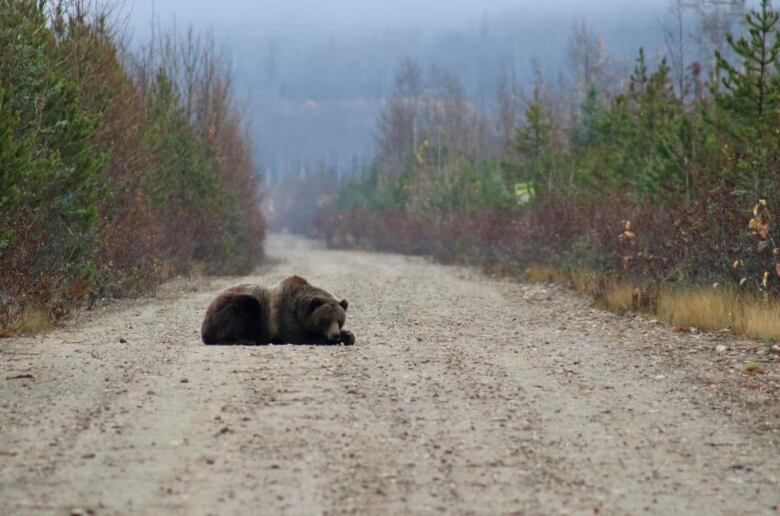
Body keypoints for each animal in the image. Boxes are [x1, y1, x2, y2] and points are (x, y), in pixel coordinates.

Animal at [203, 274, 358, 346]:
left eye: (339, 320)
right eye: (325, 320)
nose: (335, 335)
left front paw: (349, 335)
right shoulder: (285, 316)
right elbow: (300, 337)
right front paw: (340, 339)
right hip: (232, 306)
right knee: (248, 307)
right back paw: (245, 340)